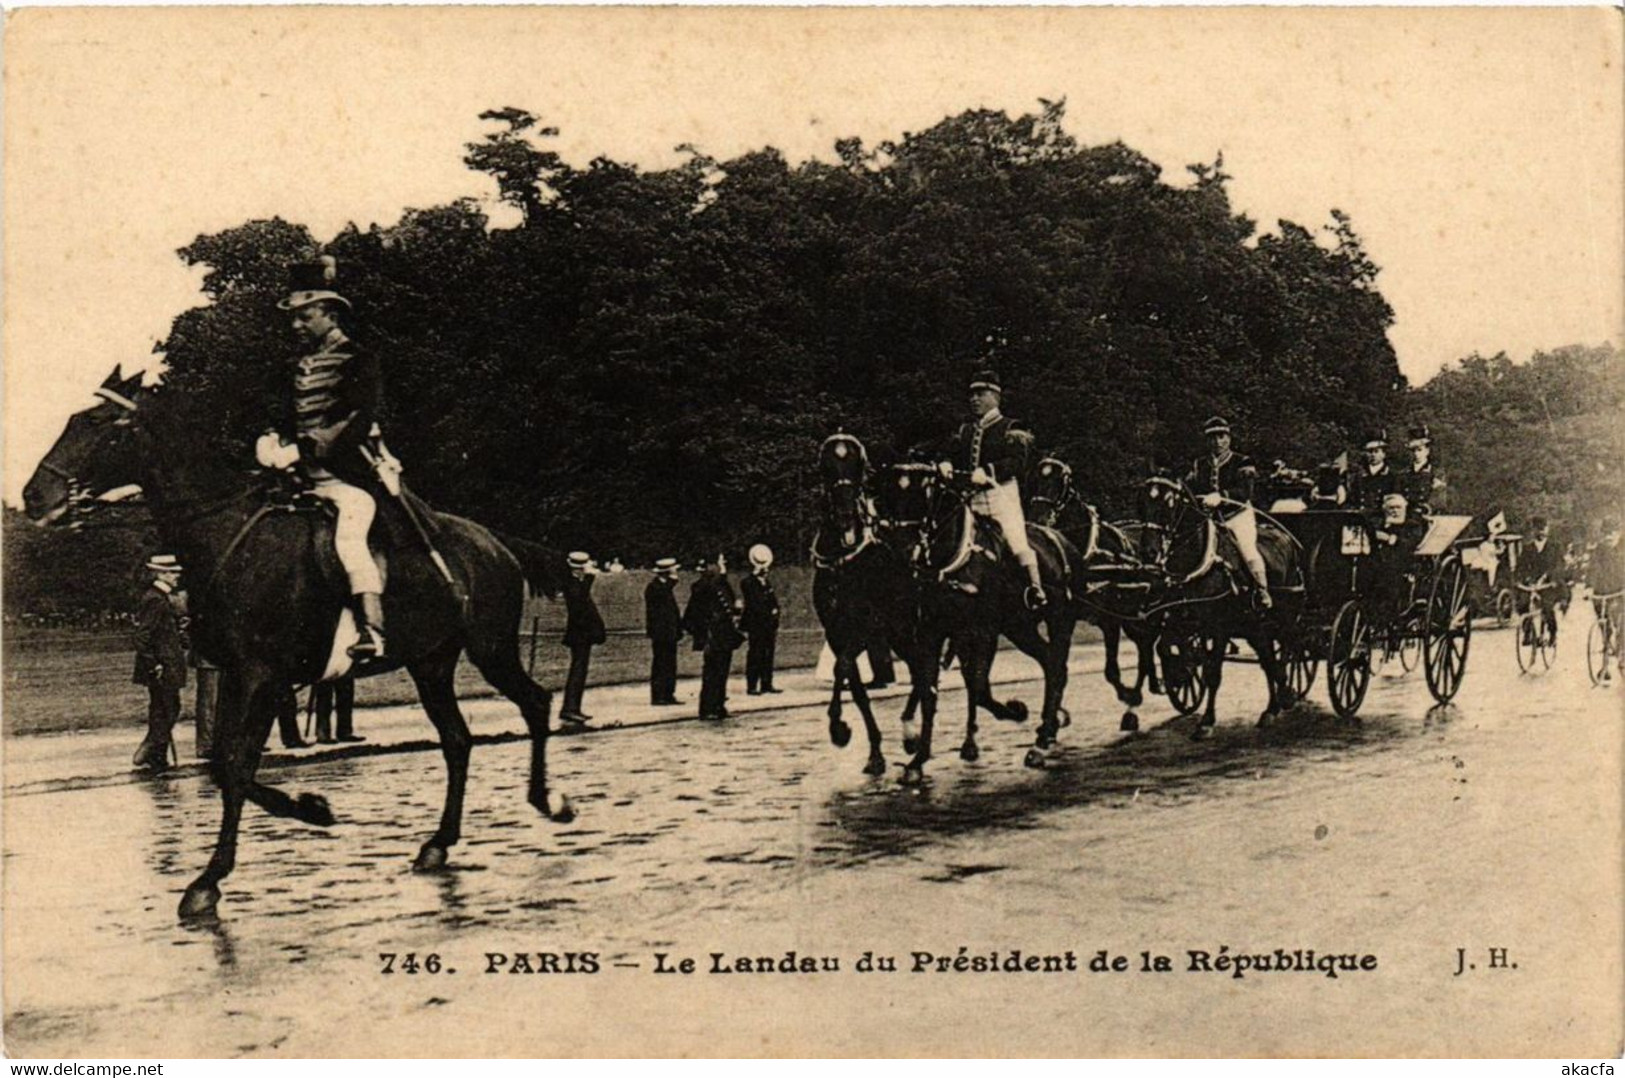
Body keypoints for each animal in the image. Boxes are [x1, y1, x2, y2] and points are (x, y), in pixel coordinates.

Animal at [22, 373, 575, 917]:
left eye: (99, 423)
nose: (33, 496)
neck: (229, 535)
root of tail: (494, 541)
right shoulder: (236, 675)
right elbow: (225, 762)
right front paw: (306, 811)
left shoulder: (263, 677)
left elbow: (237, 764)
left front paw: (213, 876)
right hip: (431, 664)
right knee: (458, 740)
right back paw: (439, 842)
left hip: (490, 648)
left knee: (533, 702)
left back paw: (549, 801)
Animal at [809, 435, 942, 780]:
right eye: (827, 465)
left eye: (857, 465)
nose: (845, 516)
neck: (844, 561)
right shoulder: (836, 631)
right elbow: (855, 685)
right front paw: (875, 754)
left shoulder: (867, 629)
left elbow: (841, 666)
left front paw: (839, 728)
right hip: (902, 634)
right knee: (921, 673)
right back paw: (911, 738)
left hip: (911, 630)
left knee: (927, 677)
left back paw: (916, 748)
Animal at [877, 461, 1079, 767]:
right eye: (889, 492)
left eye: (924, 493)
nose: (904, 550)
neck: (953, 559)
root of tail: (1061, 541)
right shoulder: (933, 632)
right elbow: (931, 689)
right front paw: (918, 758)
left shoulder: (983, 631)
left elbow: (979, 688)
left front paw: (1016, 710)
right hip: (1019, 627)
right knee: (1050, 662)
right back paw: (1048, 727)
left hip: (1059, 620)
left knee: (1056, 666)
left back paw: (1042, 740)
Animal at [1027, 455, 1170, 734]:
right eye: (1035, 478)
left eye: (1060, 481)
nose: (1039, 517)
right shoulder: (1064, 615)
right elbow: (1056, 661)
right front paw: (1056, 714)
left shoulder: (1109, 618)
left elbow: (1110, 671)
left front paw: (1128, 695)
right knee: (1145, 645)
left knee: (1148, 644)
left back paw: (1139, 698)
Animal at [1144, 478, 1306, 738]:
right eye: (1142, 500)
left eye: (1169, 503)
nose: (1149, 552)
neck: (1199, 562)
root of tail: (1287, 539)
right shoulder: (1181, 621)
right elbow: (1165, 648)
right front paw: (1181, 673)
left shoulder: (1219, 627)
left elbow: (1213, 674)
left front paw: (1207, 721)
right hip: (1254, 626)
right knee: (1268, 659)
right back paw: (1272, 708)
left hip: (1286, 617)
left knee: (1289, 652)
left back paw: (1287, 693)